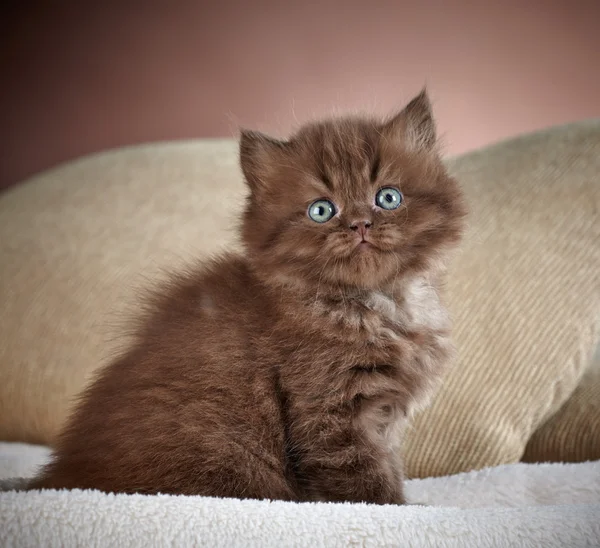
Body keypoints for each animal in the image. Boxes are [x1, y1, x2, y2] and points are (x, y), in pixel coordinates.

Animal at [29, 91, 468, 506]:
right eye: (322, 210)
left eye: (388, 198)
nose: (360, 223)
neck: (376, 305)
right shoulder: (329, 410)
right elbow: (366, 482)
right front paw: (405, 508)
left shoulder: (384, 418)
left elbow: (389, 465)